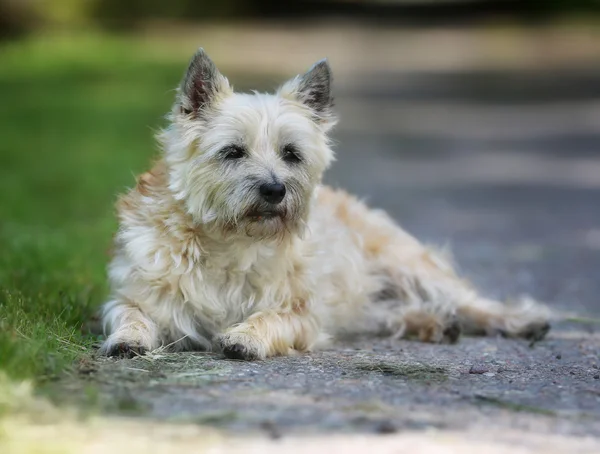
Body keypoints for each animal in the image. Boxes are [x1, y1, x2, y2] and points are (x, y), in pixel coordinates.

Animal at [98, 48, 548, 362]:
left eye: (291, 154)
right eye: (232, 152)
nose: (275, 190)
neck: (229, 242)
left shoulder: (303, 312)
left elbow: (271, 317)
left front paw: (245, 336)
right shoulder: (134, 296)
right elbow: (130, 314)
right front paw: (127, 339)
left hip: (406, 261)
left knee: (467, 299)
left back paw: (521, 321)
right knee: (387, 313)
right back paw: (434, 323)